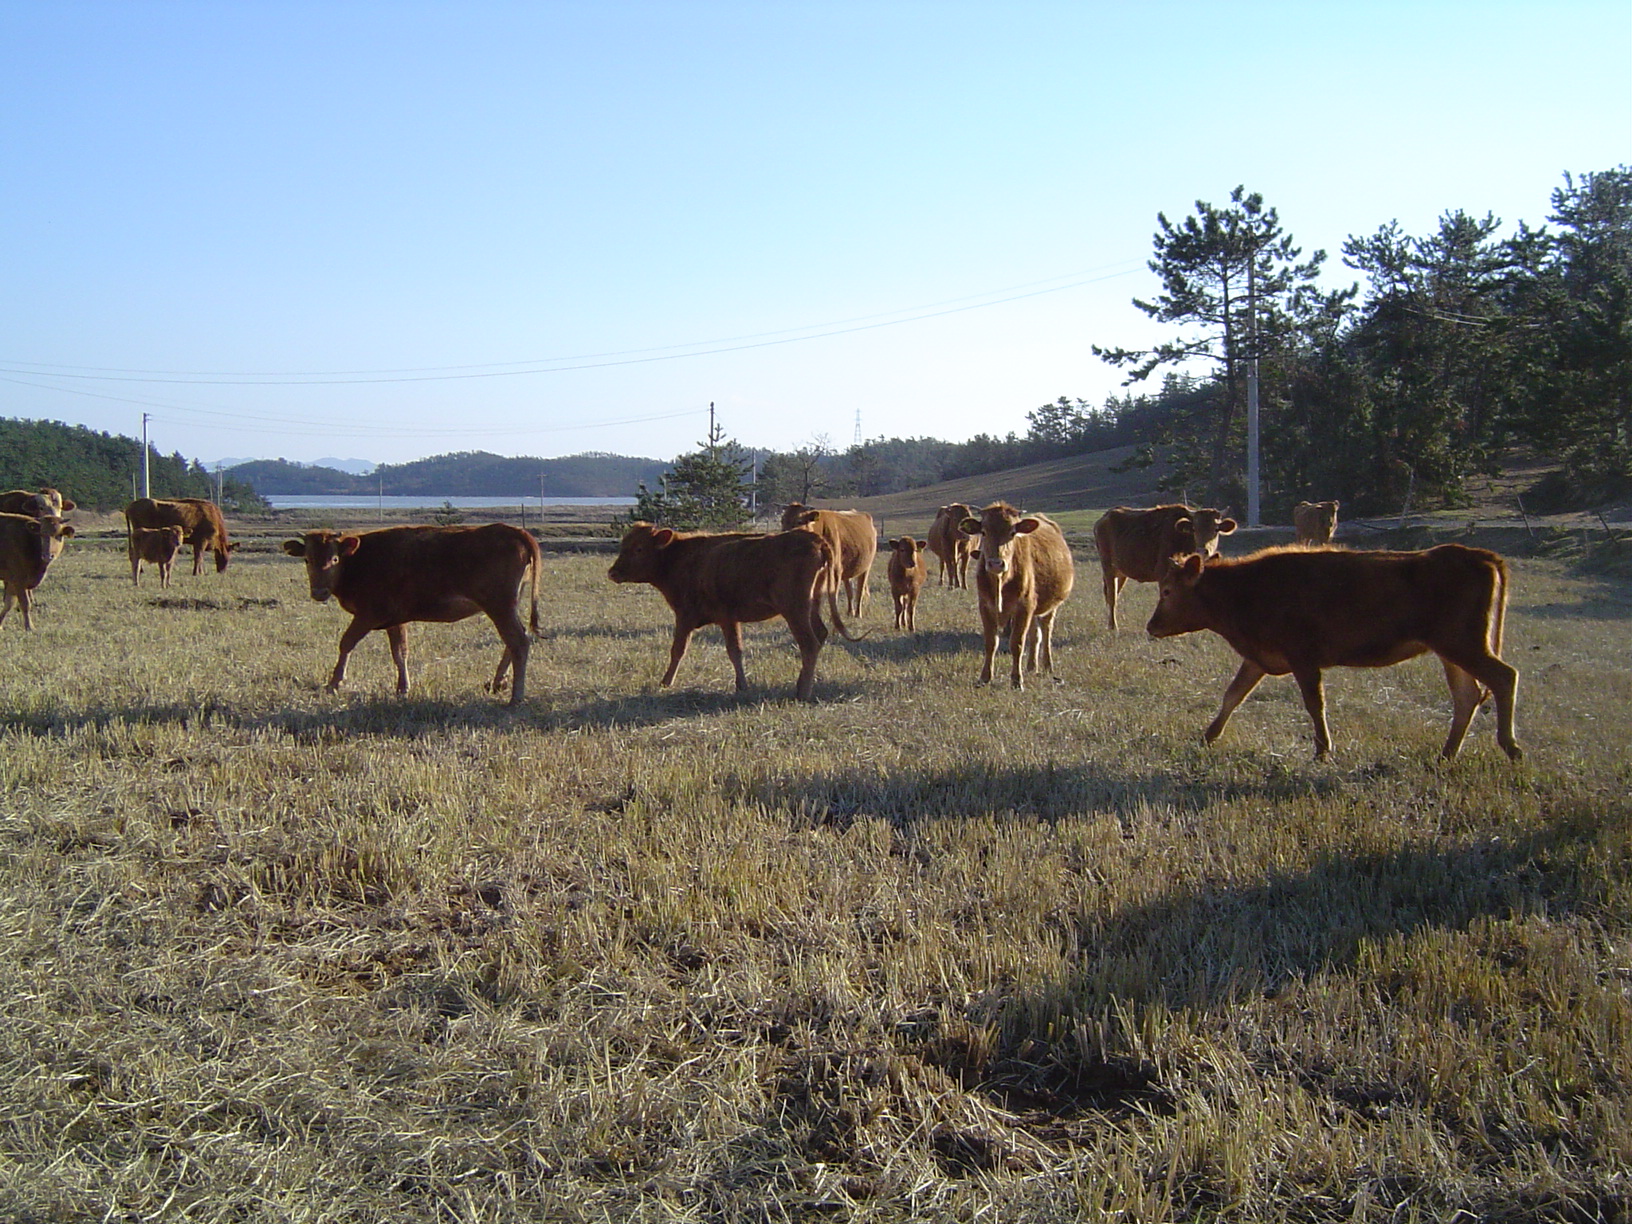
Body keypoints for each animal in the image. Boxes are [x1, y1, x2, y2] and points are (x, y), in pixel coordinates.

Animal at [283, 522, 545, 705]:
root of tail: (515, 531)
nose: (319, 592)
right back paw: (497, 683)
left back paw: (516, 697)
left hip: (499, 606)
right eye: (307, 559)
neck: (358, 559)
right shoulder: (395, 620)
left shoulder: (368, 615)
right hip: (506, 607)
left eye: (335, 558)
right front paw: (402, 688)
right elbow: (400, 652)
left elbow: (346, 643)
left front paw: (334, 683)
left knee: (518, 641)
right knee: (515, 640)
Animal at [603, 522, 855, 705]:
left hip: (795, 609)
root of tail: (814, 539)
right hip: (813, 604)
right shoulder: (730, 619)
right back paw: (800, 683)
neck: (681, 558)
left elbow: (679, 650)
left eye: (639, 548)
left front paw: (665, 682)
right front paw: (741, 685)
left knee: (809, 643)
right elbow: (736, 651)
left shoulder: (687, 616)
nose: (613, 572)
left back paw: (803, 693)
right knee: (820, 634)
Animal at [953, 499, 1070, 691]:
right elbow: (991, 642)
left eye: (1012, 532)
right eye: (983, 532)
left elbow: (1017, 643)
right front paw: (984, 678)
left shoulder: (1024, 607)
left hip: (1050, 607)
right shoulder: (985, 607)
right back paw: (1031, 666)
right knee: (1035, 636)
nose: (996, 564)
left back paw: (1047, 666)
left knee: (1046, 632)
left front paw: (1016, 680)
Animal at [1096, 502, 1233, 633]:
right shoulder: (1162, 573)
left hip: (1121, 573)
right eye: (1194, 529)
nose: (1202, 550)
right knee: (1112, 596)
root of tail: (1104, 517)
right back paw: (1113, 627)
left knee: (1114, 594)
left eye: (1216, 529)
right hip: (1108, 568)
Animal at [1148, 545, 1514, 763]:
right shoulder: (1258, 658)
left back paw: (1509, 746)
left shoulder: (1303, 658)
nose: (1151, 626)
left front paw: (1323, 750)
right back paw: (1447, 753)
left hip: (1463, 643)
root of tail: (1477, 555)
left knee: (1503, 677)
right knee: (1467, 696)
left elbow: (1314, 704)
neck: (1246, 591)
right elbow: (1233, 695)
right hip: (1452, 651)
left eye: (1167, 591)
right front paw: (1208, 736)